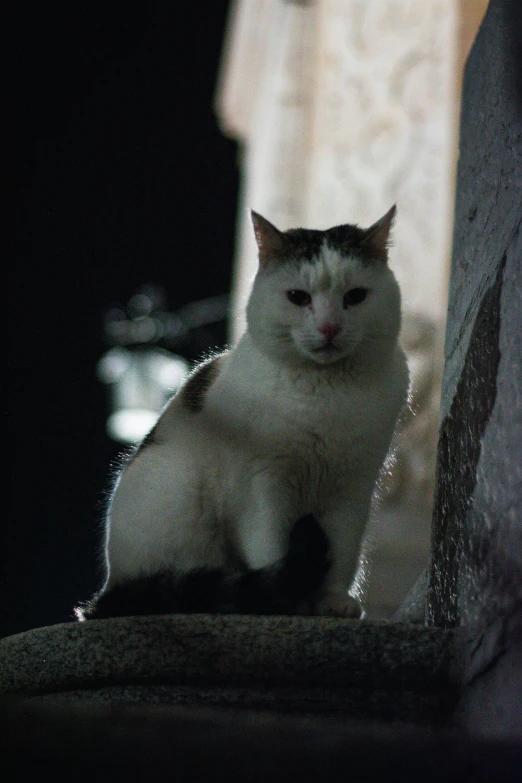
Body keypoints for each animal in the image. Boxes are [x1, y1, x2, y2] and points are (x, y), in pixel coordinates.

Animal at [76, 205, 406, 620]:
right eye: (298, 297)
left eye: (356, 297)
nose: (329, 327)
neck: (326, 393)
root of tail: (106, 593)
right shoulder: (261, 486)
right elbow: (272, 547)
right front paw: (287, 601)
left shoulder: (353, 487)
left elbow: (343, 551)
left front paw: (331, 601)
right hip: (179, 492)